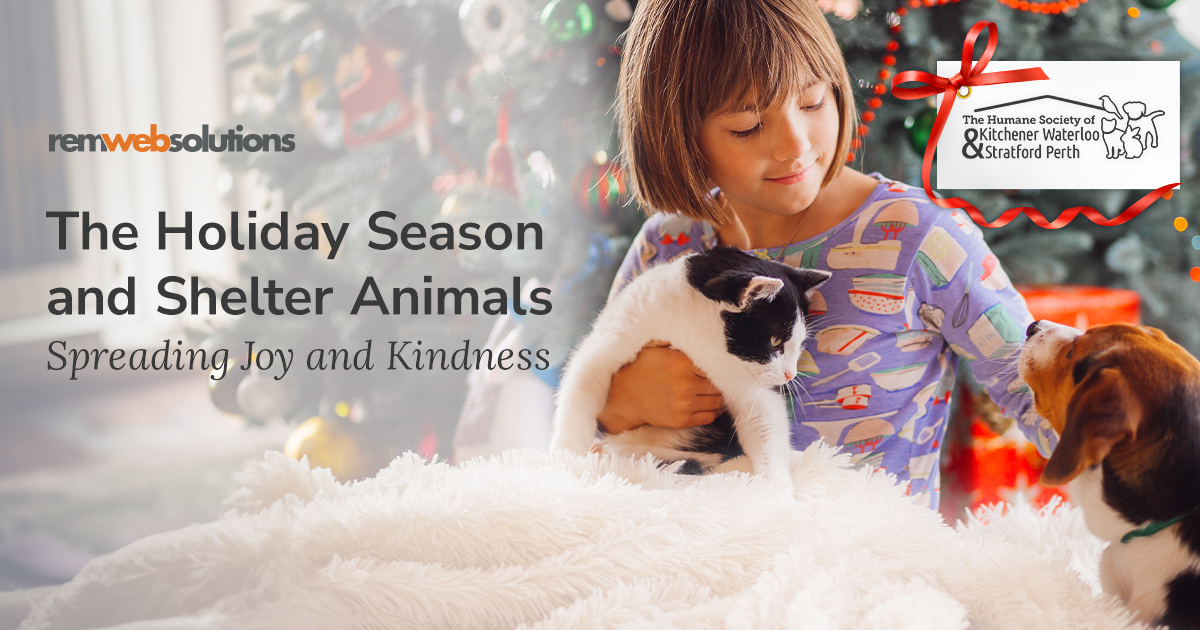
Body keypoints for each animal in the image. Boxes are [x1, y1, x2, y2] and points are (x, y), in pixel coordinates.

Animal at [549, 244, 825, 482]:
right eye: (775, 341)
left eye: (801, 344)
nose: (791, 375)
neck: (690, 337)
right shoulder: (612, 337)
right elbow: (580, 390)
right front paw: (566, 463)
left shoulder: (746, 383)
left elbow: (765, 423)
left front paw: (777, 494)